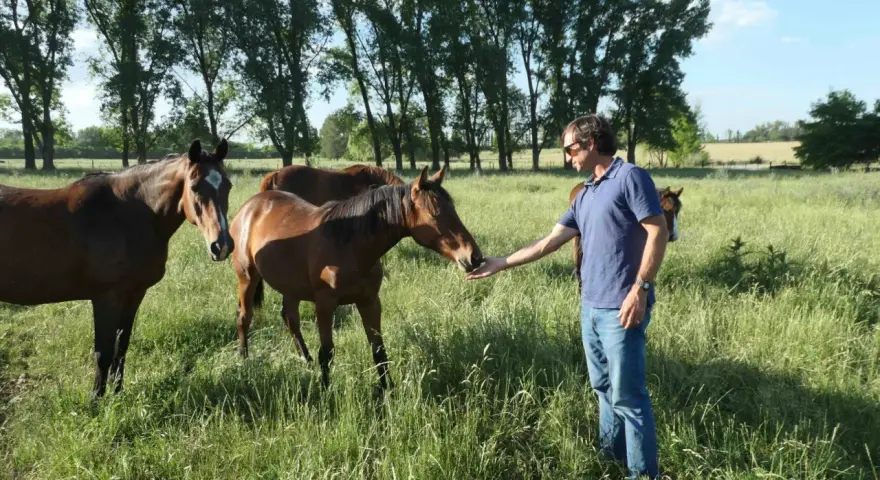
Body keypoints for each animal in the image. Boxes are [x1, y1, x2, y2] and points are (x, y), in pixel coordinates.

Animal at [0, 139, 234, 398]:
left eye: (228, 185)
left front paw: (117, 393)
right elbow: (103, 352)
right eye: (194, 187)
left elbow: (121, 345)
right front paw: (96, 399)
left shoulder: (134, 293)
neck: (125, 215)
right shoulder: (106, 297)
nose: (222, 245)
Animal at [229, 166, 483, 390]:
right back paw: (243, 359)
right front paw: (326, 389)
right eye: (434, 214)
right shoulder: (325, 305)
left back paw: (305, 360)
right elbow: (327, 352)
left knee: (290, 319)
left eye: (454, 210)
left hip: (290, 287)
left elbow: (379, 349)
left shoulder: (370, 301)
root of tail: (250, 207)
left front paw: (388, 389)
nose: (474, 257)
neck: (350, 246)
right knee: (245, 316)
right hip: (247, 278)